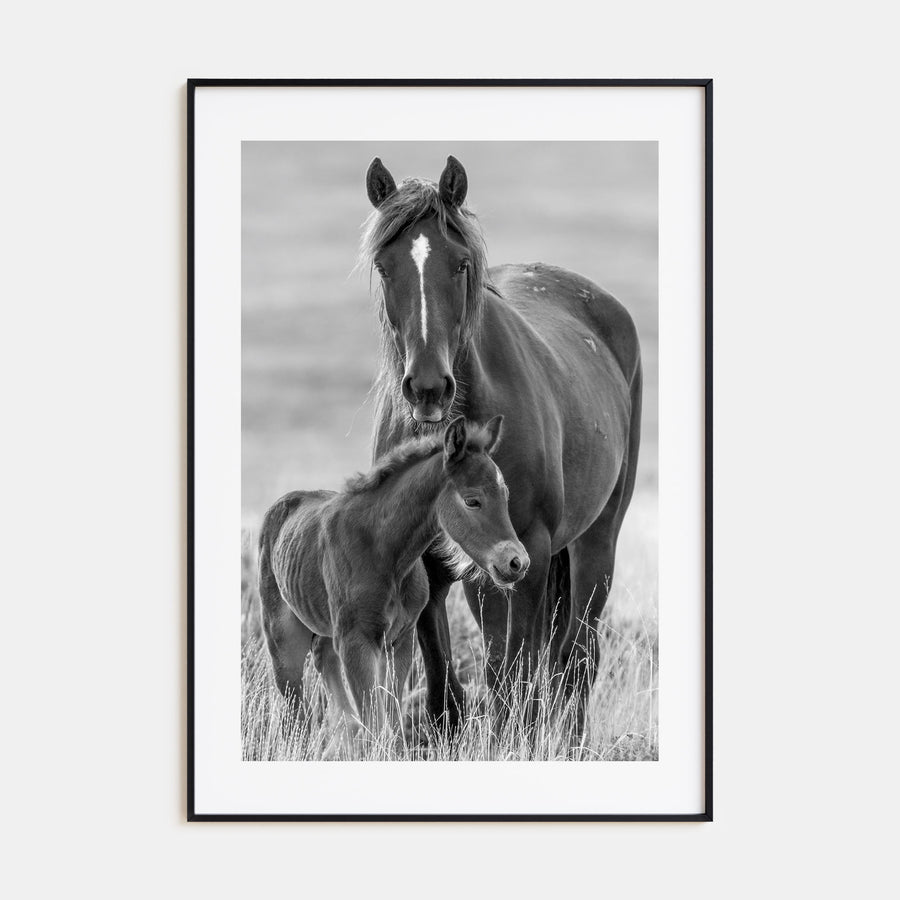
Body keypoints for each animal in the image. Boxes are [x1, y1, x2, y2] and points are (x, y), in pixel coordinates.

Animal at [257, 415, 528, 741]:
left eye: (505, 495)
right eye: (472, 501)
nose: (517, 562)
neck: (386, 555)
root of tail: (282, 505)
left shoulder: (400, 641)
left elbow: (392, 722)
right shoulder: (356, 642)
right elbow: (376, 724)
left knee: (326, 668)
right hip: (283, 639)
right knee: (295, 704)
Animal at [361, 155, 642, 729]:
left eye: (461, 264)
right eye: (384, 266)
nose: (428, 387)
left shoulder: (525, 551)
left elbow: (514, 678)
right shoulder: (431, 565)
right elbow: (445, 684)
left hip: (593, 543)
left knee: (576, 657)